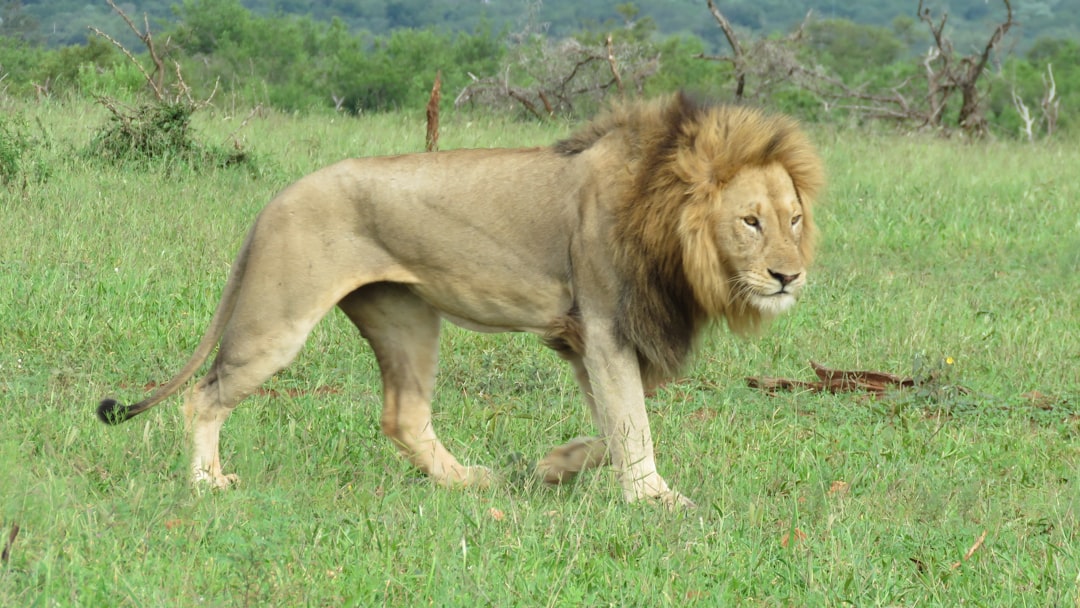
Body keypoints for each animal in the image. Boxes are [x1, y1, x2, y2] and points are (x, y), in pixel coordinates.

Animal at [96, 93, 824, 508]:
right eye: (750, 221)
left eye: (793, 219)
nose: (788, 277)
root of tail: (273, 201)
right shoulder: (604, 325)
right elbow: (630, 423)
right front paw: (653, 498)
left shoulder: (585, 337)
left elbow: (616, 421)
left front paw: (557, 467)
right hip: (278, 322)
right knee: (206, 394)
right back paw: (206, 484)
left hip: (406, 318)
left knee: (403, 417)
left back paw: (466, 482)